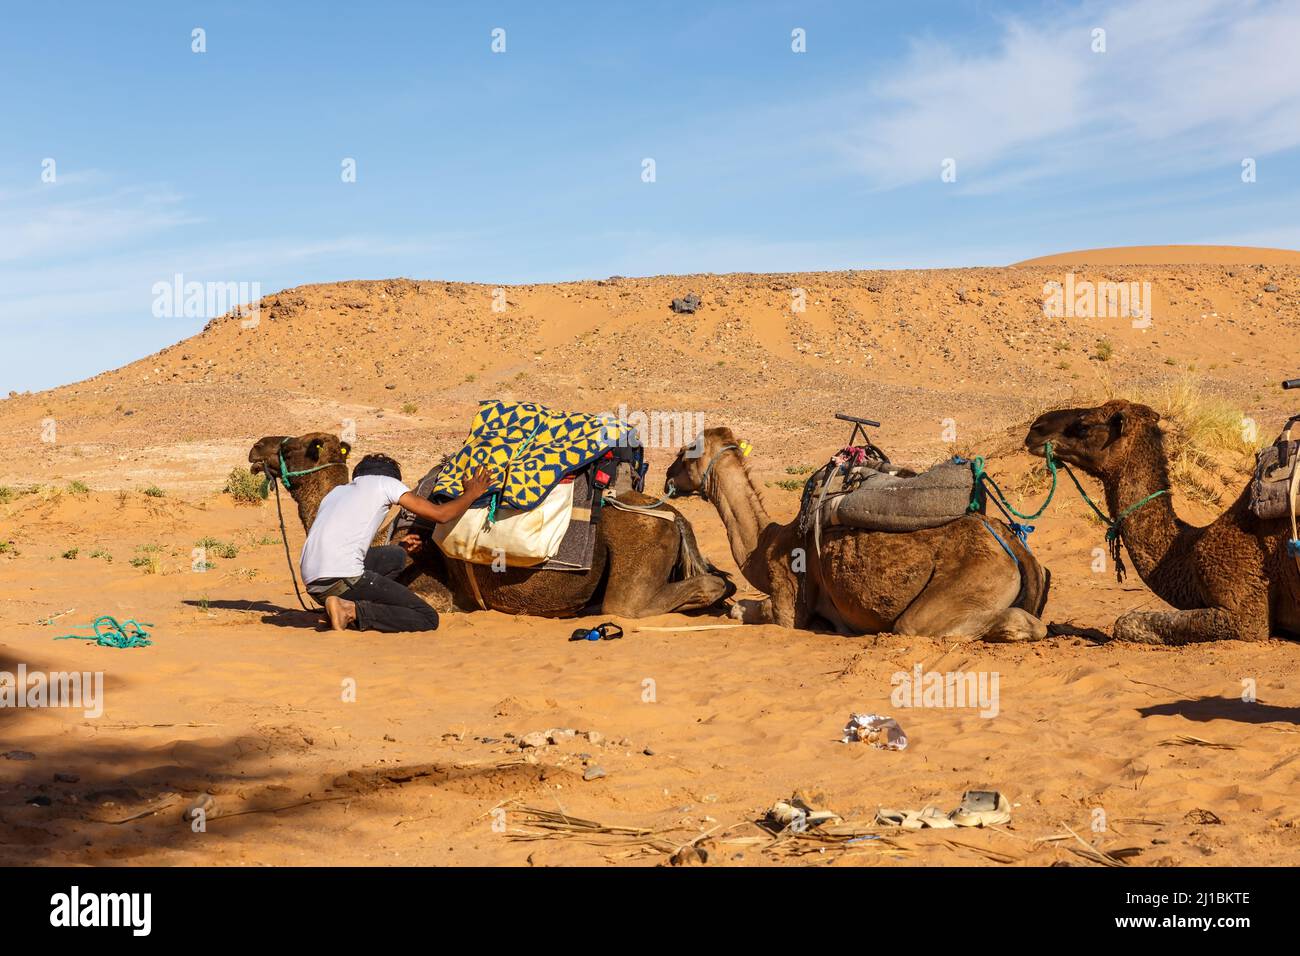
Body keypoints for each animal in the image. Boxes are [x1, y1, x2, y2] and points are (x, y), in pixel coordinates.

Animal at [244, 434, 733, 621]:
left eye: (299, 445)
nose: (257, 447)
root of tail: (674, 516)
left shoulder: (436, 595)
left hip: (637, 551)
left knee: (631, 604)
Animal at [665, 431, 1050, 642]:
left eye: (684, 453)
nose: (667, 476)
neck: (765, 544)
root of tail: (1013, 544)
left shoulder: (789, 600)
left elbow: (750, 611)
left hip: (969, 583)